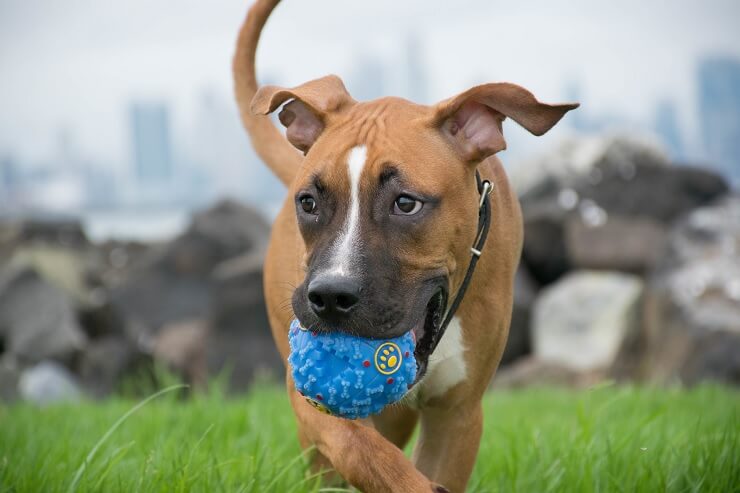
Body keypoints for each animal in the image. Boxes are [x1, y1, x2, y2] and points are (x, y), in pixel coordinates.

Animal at [234, 1, 576, 490]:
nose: (330, 296)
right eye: (309, 202)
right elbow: (361, 449)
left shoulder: (458, 415)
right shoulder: (310, 401)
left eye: (406, 203)